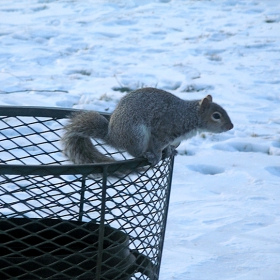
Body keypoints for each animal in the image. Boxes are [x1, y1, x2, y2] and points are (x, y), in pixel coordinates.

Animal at [60, 87, 232, 165]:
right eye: (216, 116)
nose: (231, 126)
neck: (188, 116)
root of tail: (113, 137)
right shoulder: (163, 130)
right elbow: (157, 145)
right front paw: (157, 155)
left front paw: (170, 151)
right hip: (137, 135)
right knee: (134, 152)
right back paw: (146, 155)